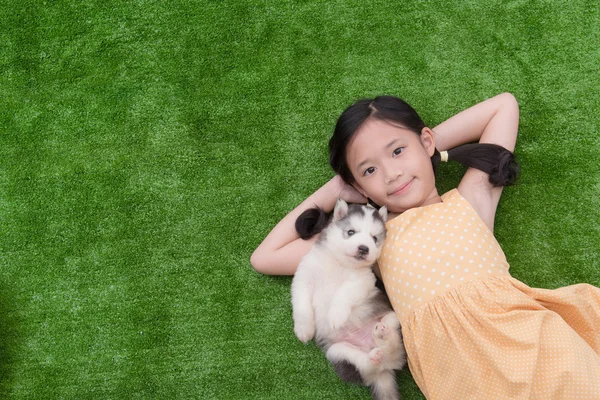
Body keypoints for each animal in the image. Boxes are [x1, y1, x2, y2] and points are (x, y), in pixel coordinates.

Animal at [290, 200, 406, 400]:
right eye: (351, 232)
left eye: (374, 238)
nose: (364, 248)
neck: (338, 264)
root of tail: (384, 371)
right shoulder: (303, 278)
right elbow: (302, 306)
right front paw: (304, 330)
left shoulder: (362, 281)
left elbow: (344, 293)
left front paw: (336, 315)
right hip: (338, 351)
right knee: (367, 366)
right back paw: (375, 353)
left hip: (393, 320)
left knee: (392, 347)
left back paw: (382, 334)